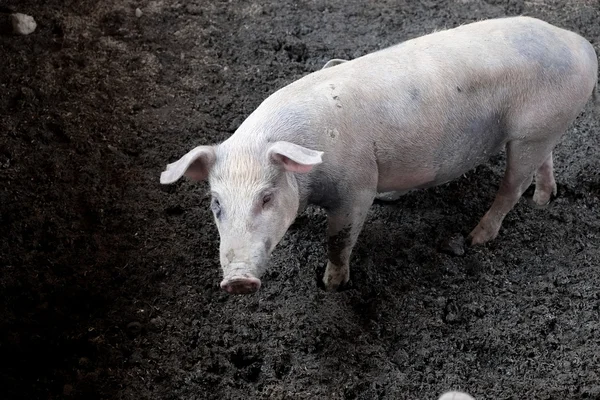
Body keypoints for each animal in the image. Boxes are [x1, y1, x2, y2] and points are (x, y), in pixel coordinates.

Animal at [158, 16, 596, 294]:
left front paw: (332, 285)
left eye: (266, 197)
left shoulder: (357, 188)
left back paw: (475, 239)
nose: (237, 282)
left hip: (530, 132)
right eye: (216, 204)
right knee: (545, 163)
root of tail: (580, 45)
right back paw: (544, 201)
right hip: (543, 131)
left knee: (511, 188)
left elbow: (338, 240)